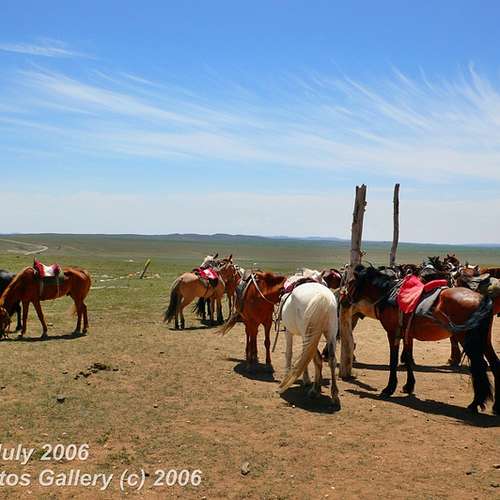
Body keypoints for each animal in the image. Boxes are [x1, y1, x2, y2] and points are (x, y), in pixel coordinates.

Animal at [342, 265, 498, 413]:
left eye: (350, 282)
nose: (343, 300)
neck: (389, 295)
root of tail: (481, 299)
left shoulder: (392, 333)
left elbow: (393, 360)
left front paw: (389, 388)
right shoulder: (407, 335)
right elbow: (408, 359)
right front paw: (409, 386)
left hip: (467, 340)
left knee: (479, 366)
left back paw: (475, 403)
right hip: (484, 340)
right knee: (495, 364)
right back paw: (495, 406)